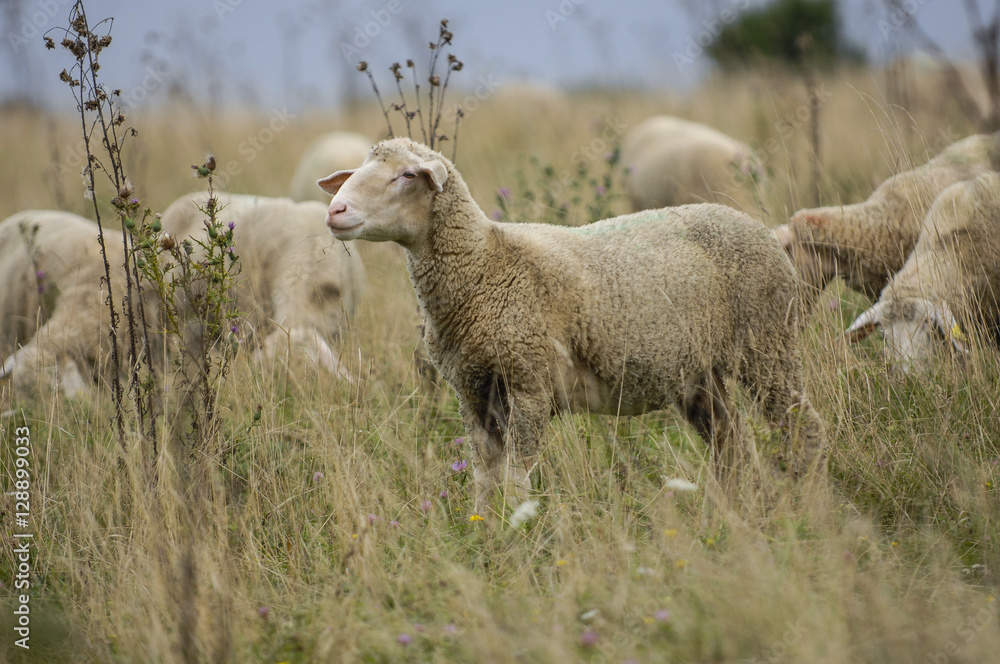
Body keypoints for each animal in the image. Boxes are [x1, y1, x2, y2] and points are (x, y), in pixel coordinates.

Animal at [318, 137, 825, 509]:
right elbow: (484, 478)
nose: (335, 211)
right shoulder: (473, 391)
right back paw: (736, 509)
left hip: (768, 342)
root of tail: (757, 226)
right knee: (732, 444)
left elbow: (516, 480)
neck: (485, 265)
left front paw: (517, 534)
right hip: (700, 374)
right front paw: (484, 531)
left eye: (407, 175)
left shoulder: (528, 382)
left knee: (804, 425)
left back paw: (803, 501)